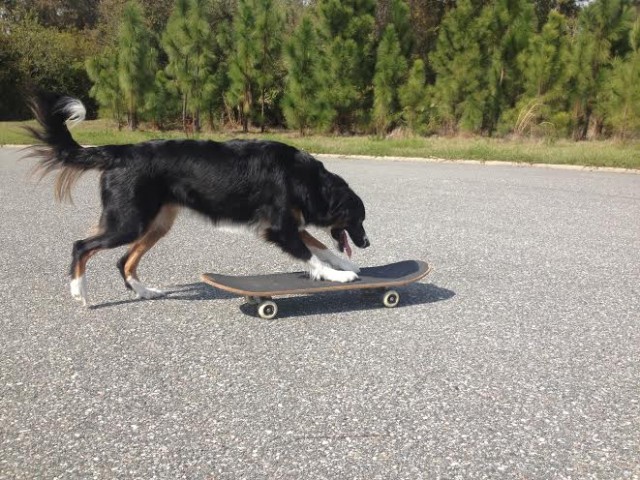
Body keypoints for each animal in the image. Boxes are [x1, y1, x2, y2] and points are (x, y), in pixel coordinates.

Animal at [27, 92, 370, 306]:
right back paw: (80, 293)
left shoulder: (289, 224)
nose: (366, 243)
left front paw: (343, 263)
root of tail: (121, 151)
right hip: (128, 222)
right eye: (358, 219)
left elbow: (320, 245)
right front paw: (337, 275)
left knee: (124, 260)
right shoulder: (279, 228)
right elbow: (311, 255)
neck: (303, 177)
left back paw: (144, 291)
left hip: (156, 224)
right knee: (82, 247)